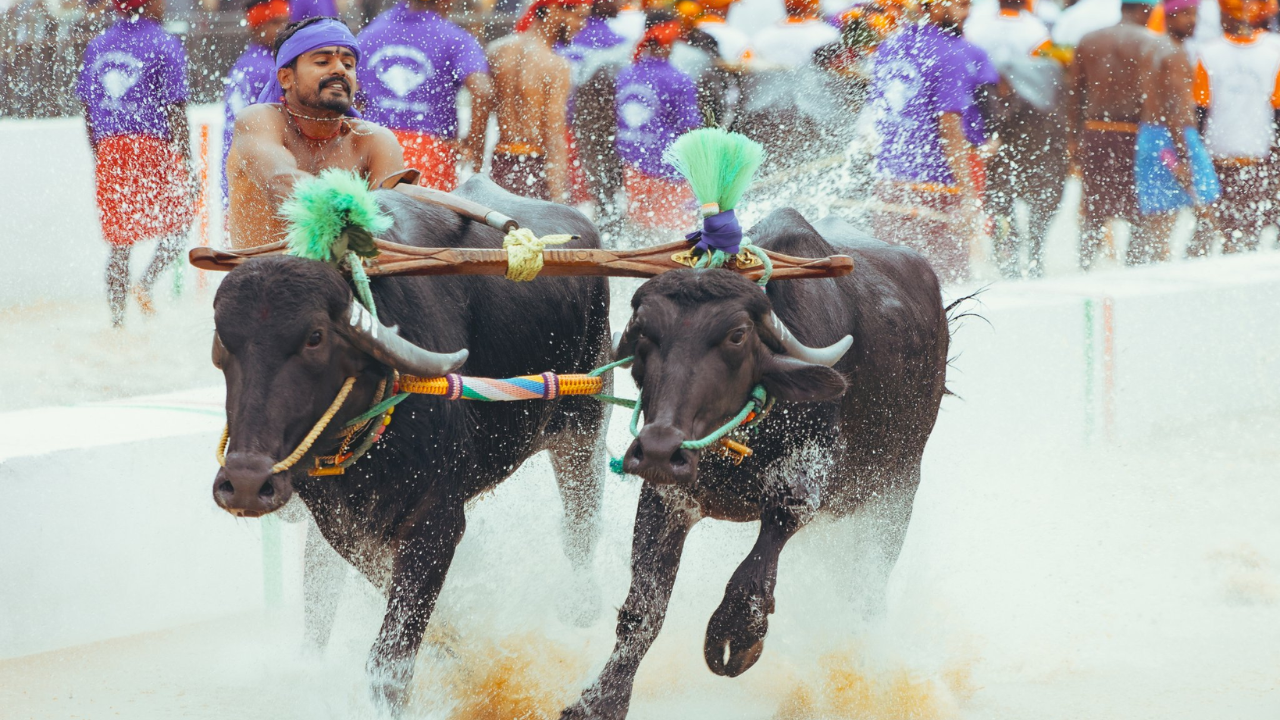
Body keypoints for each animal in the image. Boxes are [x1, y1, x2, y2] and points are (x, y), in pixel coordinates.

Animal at [209, 176, 609, 707]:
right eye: (223, 341)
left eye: (315, 337)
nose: (246, 483)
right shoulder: (347, 529)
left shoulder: (437, 521)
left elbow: (391, 660)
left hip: (583, 429)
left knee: (582, 525)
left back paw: (582, 607)